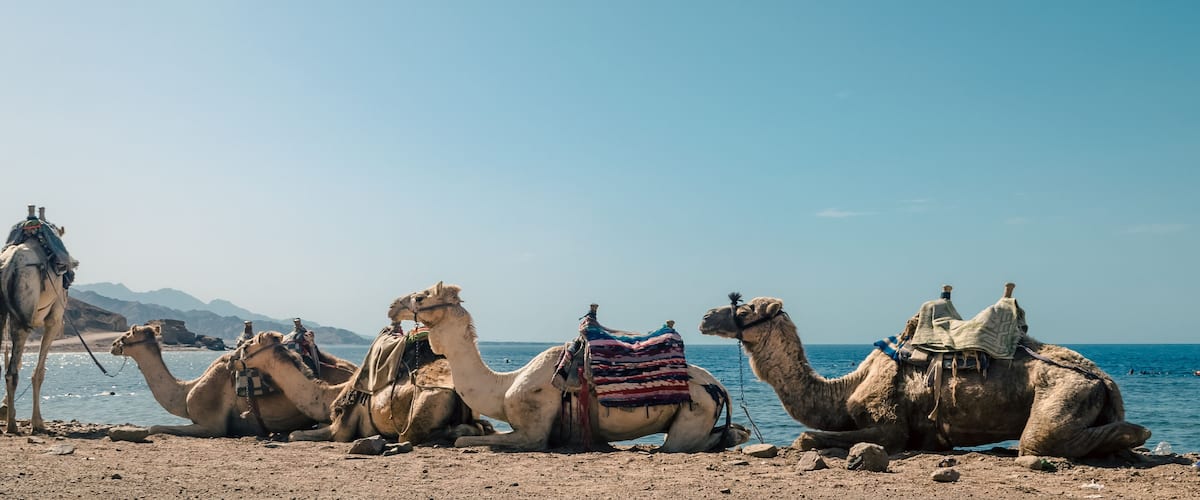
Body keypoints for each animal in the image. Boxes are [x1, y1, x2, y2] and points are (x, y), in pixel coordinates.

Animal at [0, 213, 75, 434]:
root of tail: (8, 266)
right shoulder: (54, 319)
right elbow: (39, 372)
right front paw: (38, 422)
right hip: (22, 315)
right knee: (12, 372)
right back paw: (12, 425)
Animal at [233, 331, 491, 443]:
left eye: (247, 345)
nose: (233, 357)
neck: (329, 396)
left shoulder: (341, 429)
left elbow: (296, 434)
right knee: (475, 427)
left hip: (426, 403)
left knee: (413, 434)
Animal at [387, 282, 750, 452]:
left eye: (420, 297)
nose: (392, 305)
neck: (503, 387)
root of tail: (721, 388)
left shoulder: (533, 429)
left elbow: (467, 441)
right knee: (731, 433)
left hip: (695, 409)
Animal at [697, 289, 1152, 458]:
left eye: (745, 308)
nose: (704, 317)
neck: (844, 391)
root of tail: (1104, 378)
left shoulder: (890, 424)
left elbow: (806, 436)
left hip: (1063, 392)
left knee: (1039, 440)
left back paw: (1140, 433)